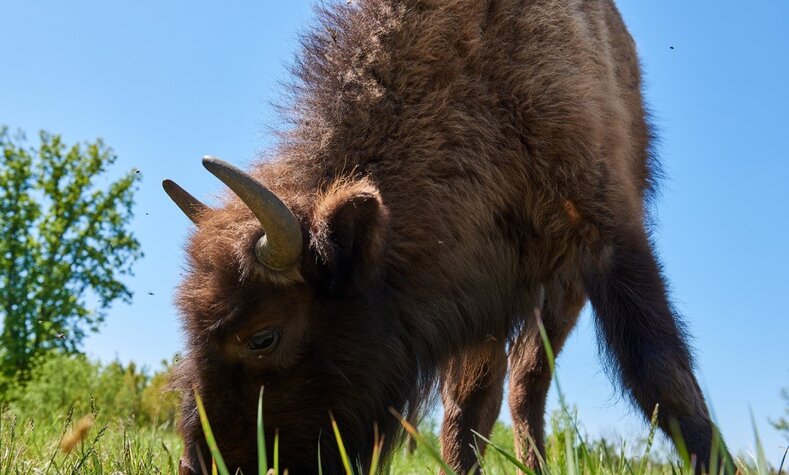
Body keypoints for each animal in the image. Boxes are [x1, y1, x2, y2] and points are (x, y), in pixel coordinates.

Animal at [165, 0, 732, 474]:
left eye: (263, 336)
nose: (200, 465)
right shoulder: (476, 283)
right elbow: (467, 407)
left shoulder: (605, 237)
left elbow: (662, 375)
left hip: (559, 291)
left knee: (529, 386)